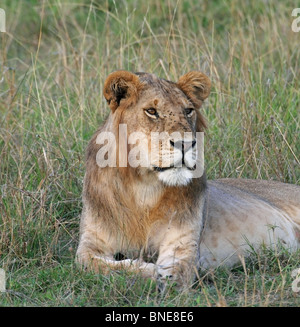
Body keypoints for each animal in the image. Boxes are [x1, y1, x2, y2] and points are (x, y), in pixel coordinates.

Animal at [75, 70, 300, 290]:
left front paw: (160, 276)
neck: (144, 188)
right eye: (151, 111)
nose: (186, 144)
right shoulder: (90, 243)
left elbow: (176, 274)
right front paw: (146, 269)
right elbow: (92, 264)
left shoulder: (182, 241)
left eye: (188, 110)